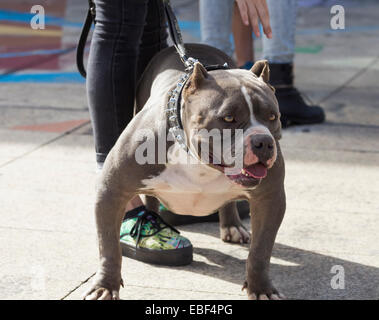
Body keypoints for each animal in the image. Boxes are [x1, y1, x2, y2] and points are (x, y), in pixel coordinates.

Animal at [83, 43, 284, 298]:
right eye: (228, 118)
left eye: (273, 116)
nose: (263, 142)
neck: (198, 161)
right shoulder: (111, 190)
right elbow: (108, 248)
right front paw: (105, 286)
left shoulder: (271, 198)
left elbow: (260, 251)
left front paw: (261, 288)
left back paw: (232, 225)